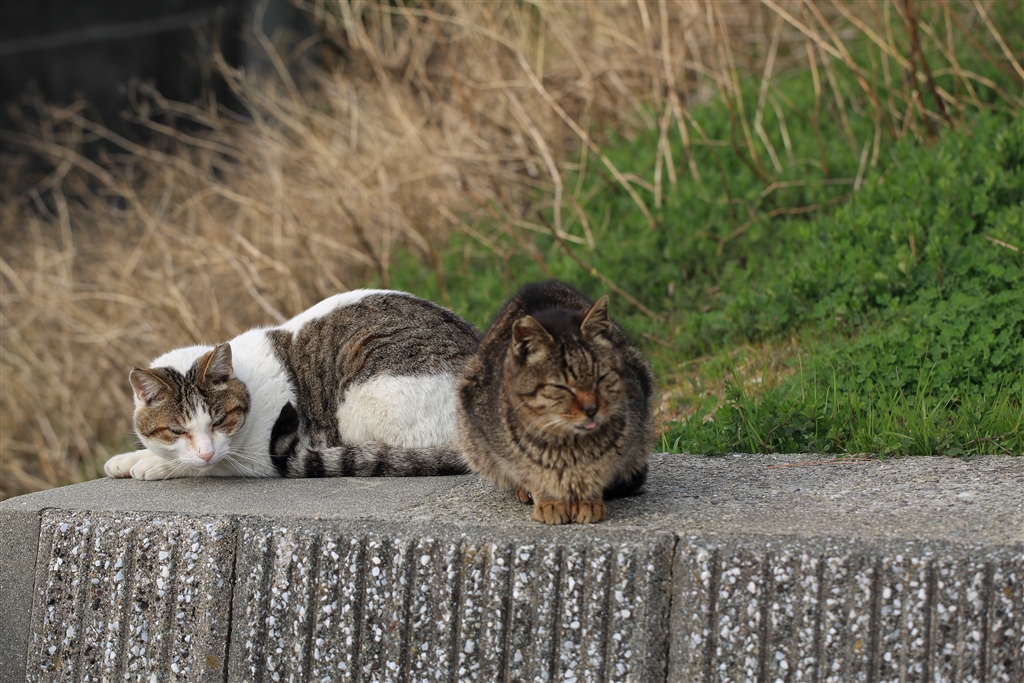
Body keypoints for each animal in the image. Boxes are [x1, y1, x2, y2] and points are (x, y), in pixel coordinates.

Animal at [104, 289, 481, 480]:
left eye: (219, 421)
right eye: (177, 430)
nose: (206, 450)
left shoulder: (257, 457)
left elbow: (212, 465)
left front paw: (153, 465)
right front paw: (127, 459)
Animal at [457, 280, 654, 525]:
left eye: (601, 378)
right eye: (562, 387)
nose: (591, 409)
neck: (569, 446)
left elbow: (597, 472)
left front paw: (589, 500)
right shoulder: (502, 450)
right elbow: (533, 474)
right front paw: (549, 501)